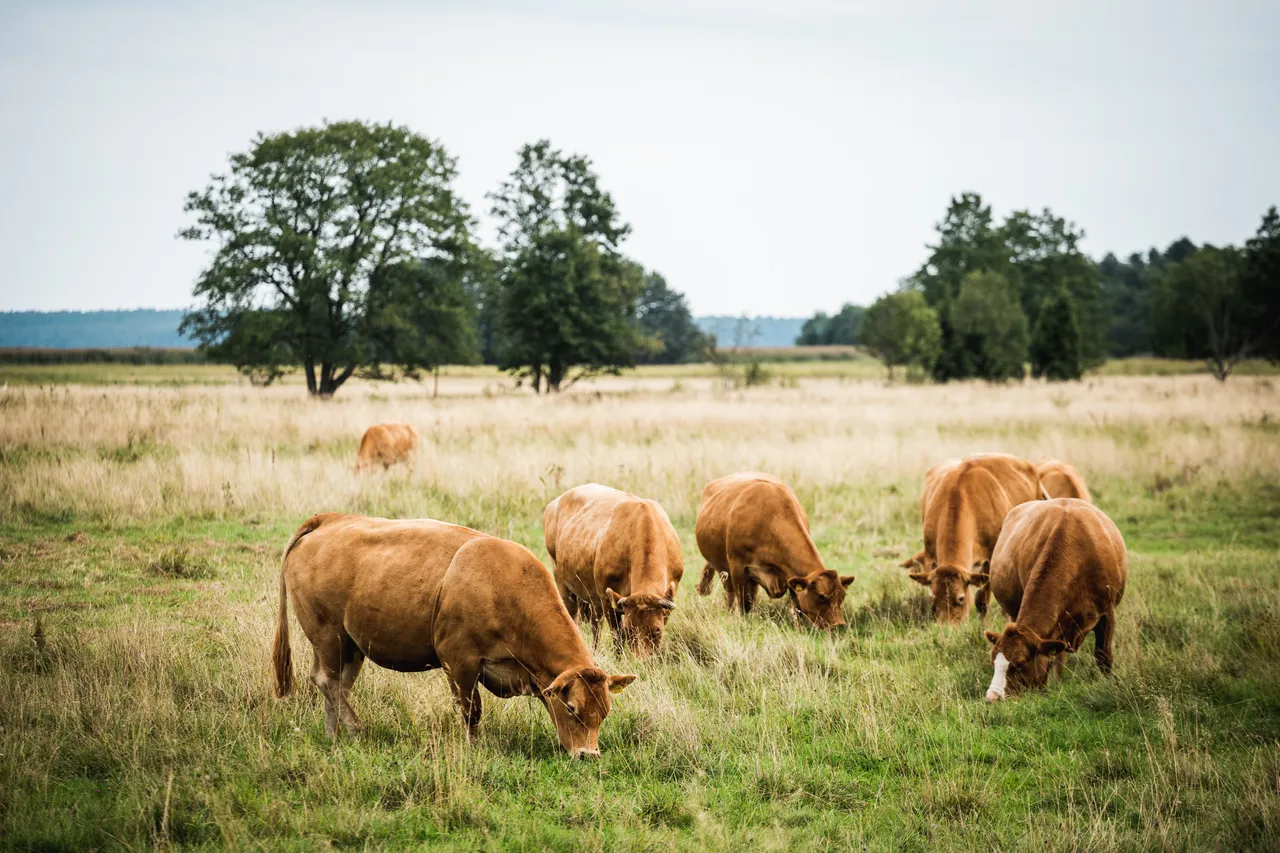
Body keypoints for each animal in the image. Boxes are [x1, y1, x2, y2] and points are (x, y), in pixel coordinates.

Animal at [271, 513, 636, 758]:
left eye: (604, 712)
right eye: (572, 709)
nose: (588, 755)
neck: (502, 585)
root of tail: (329, 520)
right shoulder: (459, 661)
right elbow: (471, 710)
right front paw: (474, 747)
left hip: (351, 645)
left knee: (339, 685)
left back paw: (336, 734)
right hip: (328, 635)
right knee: (327, 680)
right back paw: (353, 728)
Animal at [543, 484, 684, 657]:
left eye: (656, 631)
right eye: (629, 630)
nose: (641, 660)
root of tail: (554, 503)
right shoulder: (607, 600)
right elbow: (618, 638)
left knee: (595, 622)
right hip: (562, 582)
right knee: (574, 615)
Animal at [694, 472, 854, 629]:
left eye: (842, 596)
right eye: (821, 596)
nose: (839, 625)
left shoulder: (791, 575)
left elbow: (797, 609)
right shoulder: (737, 568)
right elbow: (744, 606)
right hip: (724, 569)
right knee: (730, 593)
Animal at [905, 453, 1041, 624]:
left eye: (961, 599)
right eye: (933, 599)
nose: (946, 627)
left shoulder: (990, 558)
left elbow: (982, 599)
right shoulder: (930, 556)